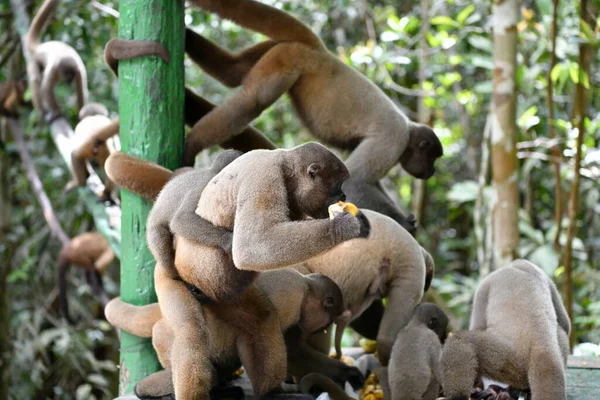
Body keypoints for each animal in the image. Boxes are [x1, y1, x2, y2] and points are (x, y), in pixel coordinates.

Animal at [105, 268, 344, 400]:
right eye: (327, 323)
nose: (320, 328)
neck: (306, 286)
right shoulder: (291, 292)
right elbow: (260, 322)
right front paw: (270, 394)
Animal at [180, 3, 442, 234]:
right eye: (432, 157)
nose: (432, 171)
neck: (409, 130)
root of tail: (322, 50)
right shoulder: (393, 138)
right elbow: (357, 180)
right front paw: (404, 223)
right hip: (292, 58)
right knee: (252, 101)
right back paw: (193, 142)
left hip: (281, 50)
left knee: (233, 71)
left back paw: (189, 41)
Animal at [442, 260, 568, 400]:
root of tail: (542, 347)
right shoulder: (543, 276)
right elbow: (565, 323)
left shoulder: (486, 284)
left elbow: (478, 325)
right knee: (561, 332)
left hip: (509, 360)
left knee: (460, 341)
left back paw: (459, 396)